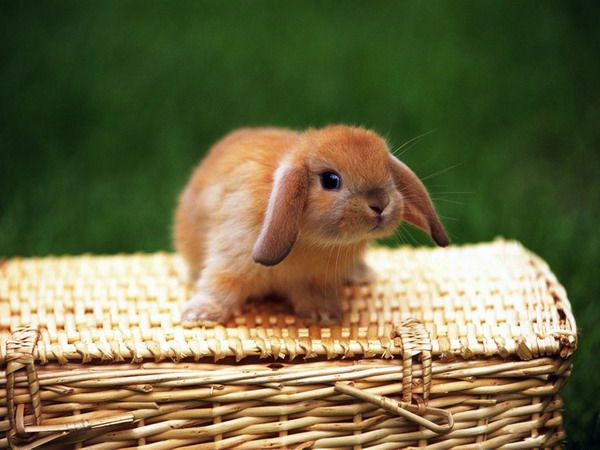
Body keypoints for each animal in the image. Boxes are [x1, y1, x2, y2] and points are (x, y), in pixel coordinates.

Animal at [174, 125, 449, 326]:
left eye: (388, 174)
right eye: (330, 180)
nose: (380, 204)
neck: (311, 241)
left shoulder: (318, 280)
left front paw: (324, 316)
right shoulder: (230, 260)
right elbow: (219, 287)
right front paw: (198, 316)